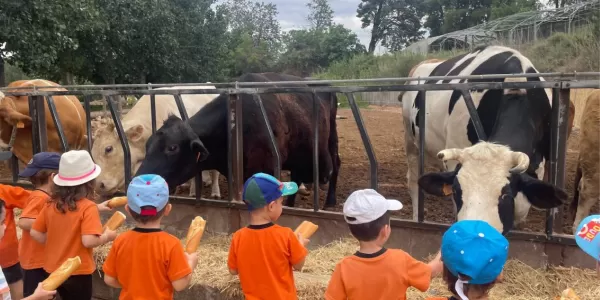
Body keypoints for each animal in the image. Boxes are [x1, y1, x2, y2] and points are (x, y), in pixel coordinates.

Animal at [137, 72, 342, 209]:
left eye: (172, 148)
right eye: (148, 145)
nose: (138, 180)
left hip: (330, 139)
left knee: (335, 164)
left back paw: (329, 202)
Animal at [404, 45, 568, 234]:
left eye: (505, 194)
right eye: (457, 190)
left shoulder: (537, 165)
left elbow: (519, 211)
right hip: (411, 142)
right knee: (414, 183)